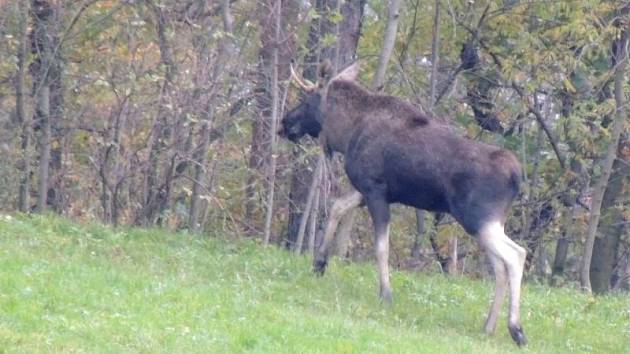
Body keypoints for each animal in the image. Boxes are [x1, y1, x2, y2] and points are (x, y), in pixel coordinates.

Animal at [280, 60, 528, 346]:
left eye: (307, 99)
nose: (284, 123)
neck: (346, 133)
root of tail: (516, 177)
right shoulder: (371, 191)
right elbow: (336, 207)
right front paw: (319, 263)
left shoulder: (375, 190)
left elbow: (381, 247)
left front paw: (386, 294)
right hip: (490, 223)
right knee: (500, 267)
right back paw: (488, 326)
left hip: (478, 219)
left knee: (516, 255)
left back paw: (516, 329)